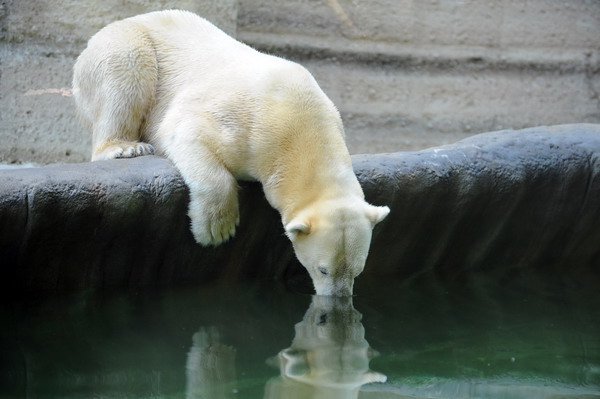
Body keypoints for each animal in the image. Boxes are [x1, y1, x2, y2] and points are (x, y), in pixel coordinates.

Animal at [72, 9, 392, 296]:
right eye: (323, 269)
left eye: (357, 270)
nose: (338, 298)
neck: (302, 120)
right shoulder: (248, 123)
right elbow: (186, 128)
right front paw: (217, 230)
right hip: (124, 47)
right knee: (125, 71)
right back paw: (124, 147)